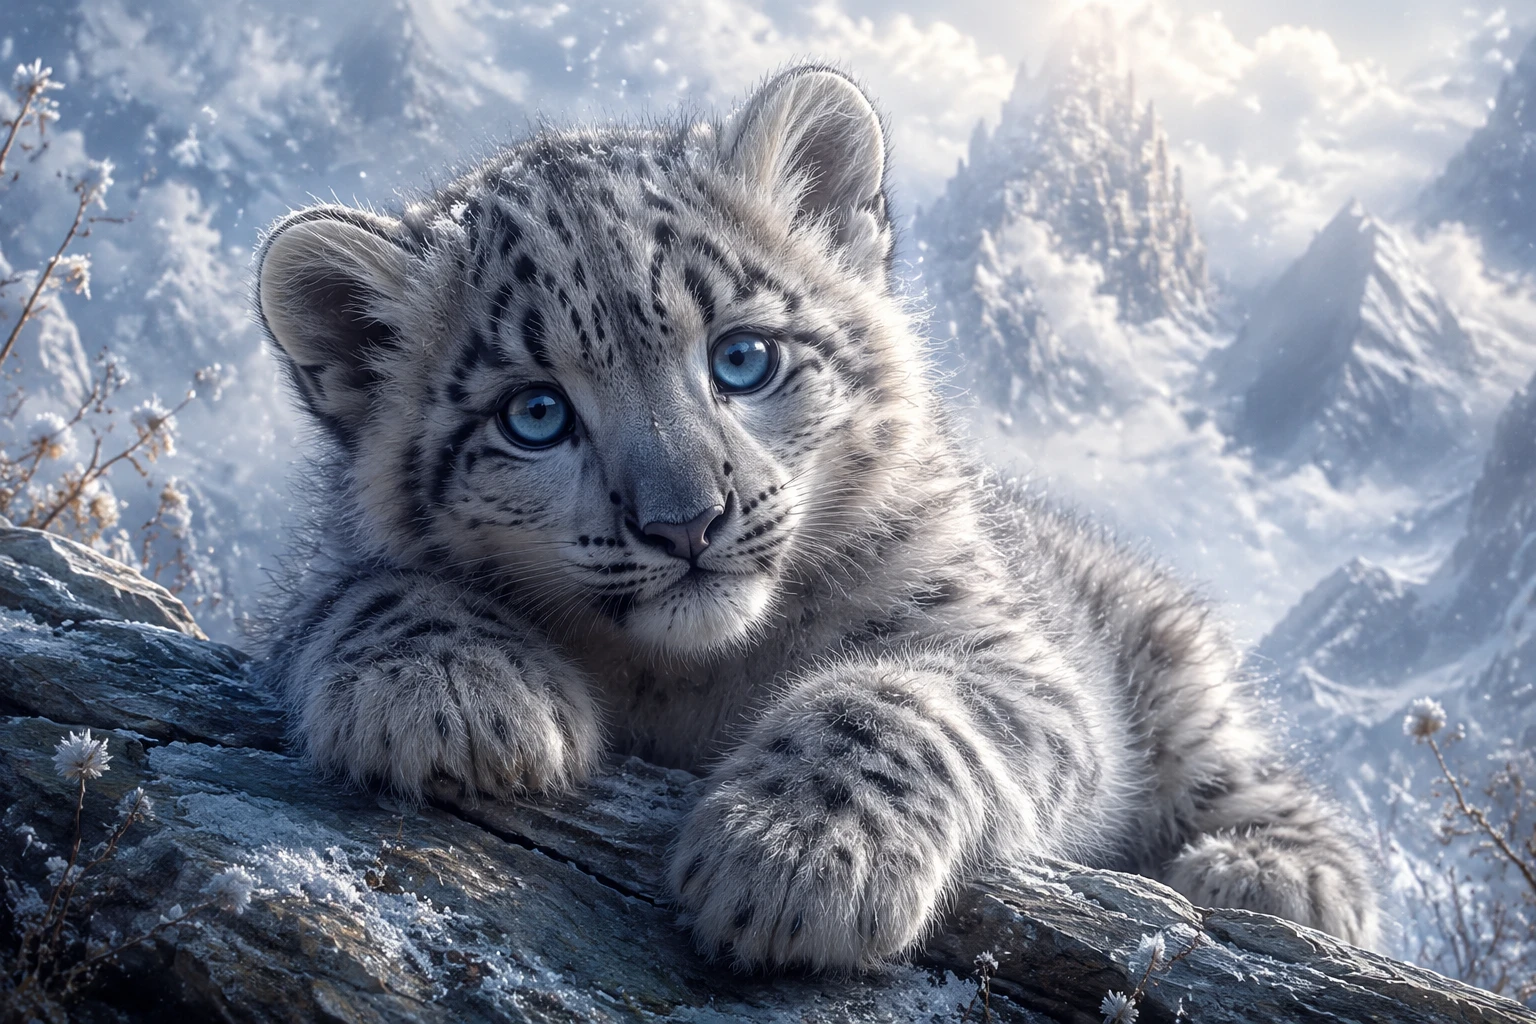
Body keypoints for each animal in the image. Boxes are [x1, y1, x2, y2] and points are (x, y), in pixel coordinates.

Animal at [253, 64, 1381, 971]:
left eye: (743, 356)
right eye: (535, 414)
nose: (686, 521)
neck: (688, 682)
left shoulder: (1010, 656)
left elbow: (902, 699)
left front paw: (796, 856)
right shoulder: (320, 577)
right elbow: (355, 585)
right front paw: (451, 693)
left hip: (1174, 669)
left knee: (1249, 775)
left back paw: (1272, 874)